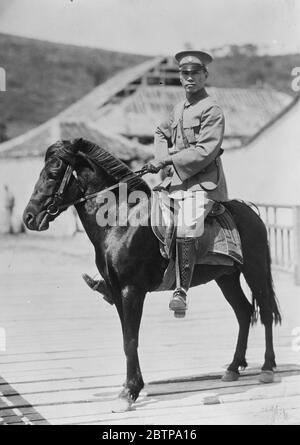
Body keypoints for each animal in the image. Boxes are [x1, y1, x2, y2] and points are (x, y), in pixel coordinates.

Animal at [23, 140, 282, 412]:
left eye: (52, 174)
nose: (28, 217)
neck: (121, 220)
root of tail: (251, 212)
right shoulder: (116, 291)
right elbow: (127, 337)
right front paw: (130, 387)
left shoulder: (132, 290)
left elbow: (131, 340)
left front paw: (129, 392)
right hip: (226, 277)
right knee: (244, 312)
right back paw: (233, 367)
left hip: (254, 271)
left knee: (265, 313)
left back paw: (267, 368)